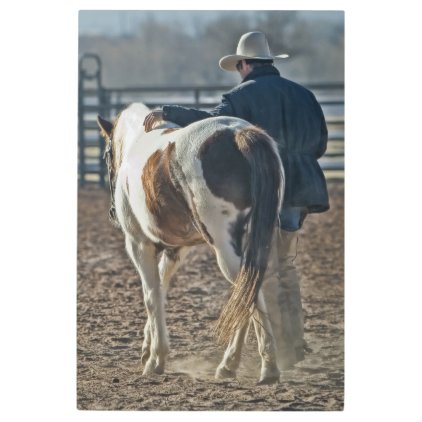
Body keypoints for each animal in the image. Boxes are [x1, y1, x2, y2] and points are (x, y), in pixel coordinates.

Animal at [96, 103, 284, 386]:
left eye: (107, 155)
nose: (111, 213)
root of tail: (239, 134)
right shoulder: (176, 250)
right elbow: (160, 289)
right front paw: (147, 348)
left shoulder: (139, 245)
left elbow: (151, 296)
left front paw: (155, 360)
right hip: (256, 242)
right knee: (247, 289)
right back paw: (230, 365)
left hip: (225, 248)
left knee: (247, 291)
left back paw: (267, 367)